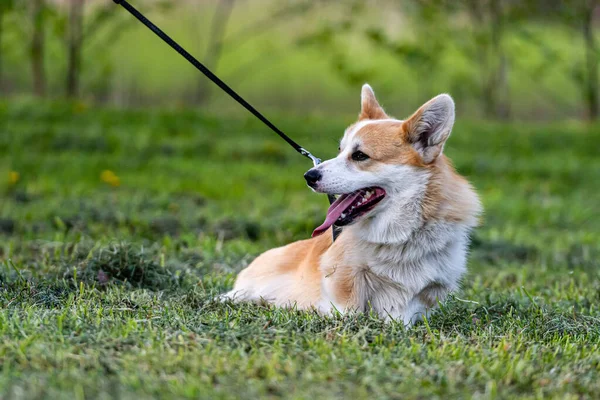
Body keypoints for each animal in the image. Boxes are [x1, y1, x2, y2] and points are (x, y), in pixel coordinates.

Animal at [223, 84, 480, 324]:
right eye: (340, 150)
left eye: (359, 156)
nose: (309, 175)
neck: (397, 237)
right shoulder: (343, 279)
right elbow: (350, 310)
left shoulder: (427, 289)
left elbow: (405, 313)